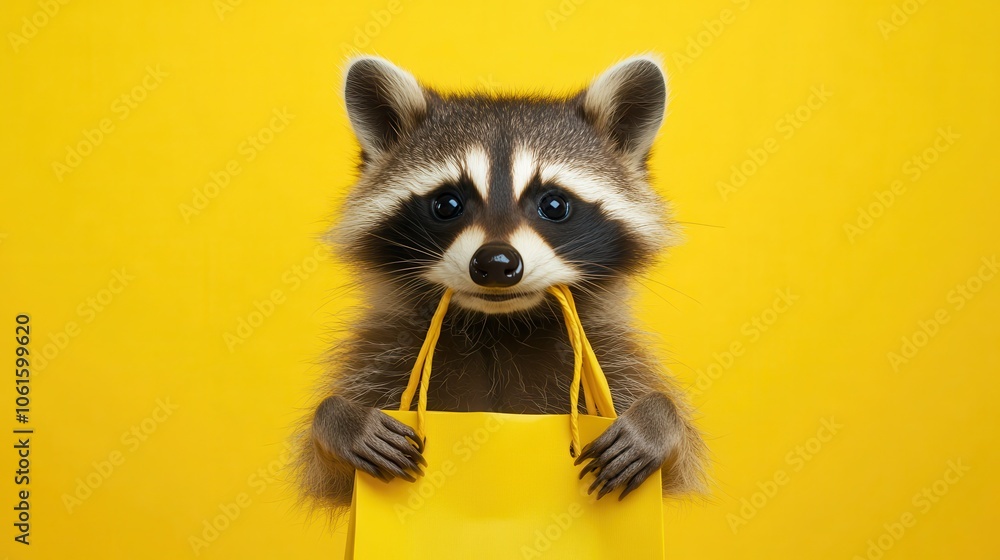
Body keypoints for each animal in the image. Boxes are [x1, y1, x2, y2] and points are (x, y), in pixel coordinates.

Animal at [297, 54, 706, 511]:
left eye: (554, 204)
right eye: (447, 204)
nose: (495, 263)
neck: (498, 327)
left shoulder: (613, 354)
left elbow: (675, 468)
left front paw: (658, 420)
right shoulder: (382, 354)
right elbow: (331, 479)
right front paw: (340, 419)